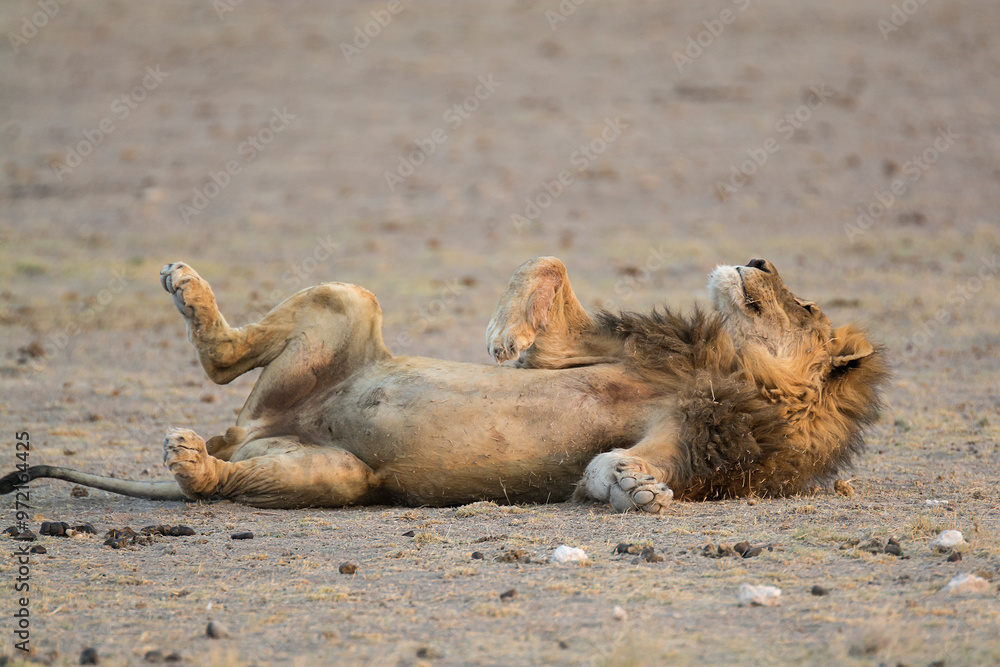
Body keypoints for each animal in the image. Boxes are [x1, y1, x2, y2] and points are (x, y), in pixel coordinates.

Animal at [0, 257, 889, 512]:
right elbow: (549, 270)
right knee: (222, 358)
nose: (758, 257)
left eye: (804, 305)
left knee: (218, 470)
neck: (735, 365)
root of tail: (246, 429)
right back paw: (186, 288)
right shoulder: (612, 350)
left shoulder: (701, 437)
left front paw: (636, 487)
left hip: (340, 475)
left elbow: (622, 464)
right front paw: (506, 329)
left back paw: (190, 458)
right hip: (348, 304)